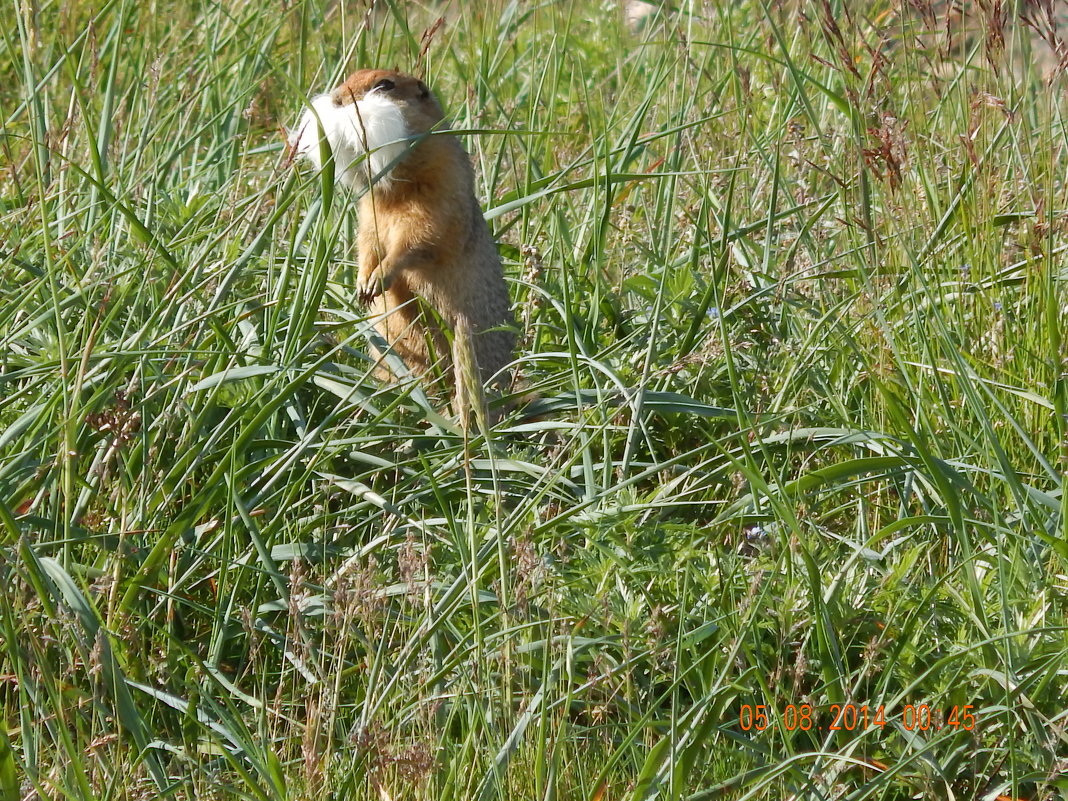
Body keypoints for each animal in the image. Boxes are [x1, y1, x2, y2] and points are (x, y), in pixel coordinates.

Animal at [288, 69, 512, 403]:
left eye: (385, 85)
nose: (337, 99)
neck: (393, 187)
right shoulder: (369, 214)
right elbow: (367, 242)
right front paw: (362, 283)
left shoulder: (436, 196)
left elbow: (419, 238)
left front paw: (379, 278)